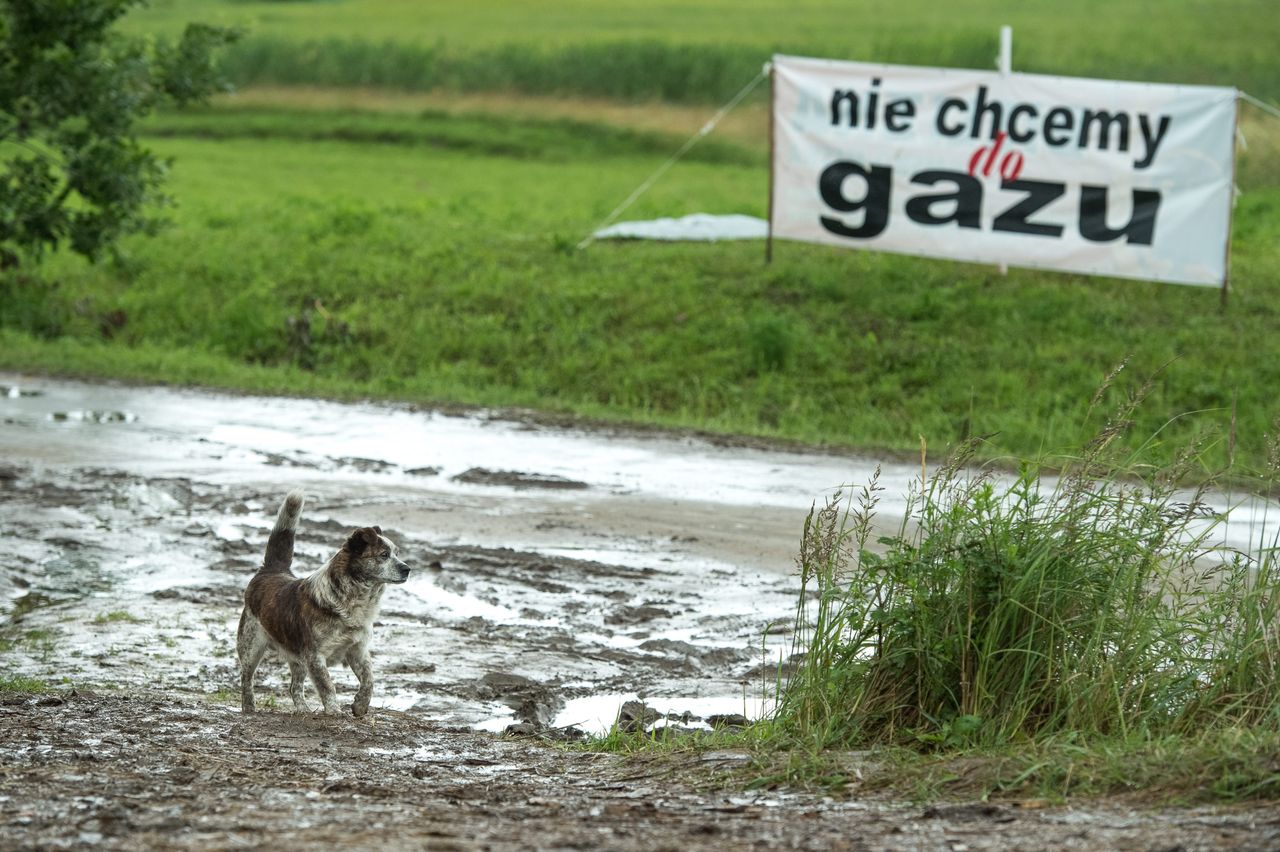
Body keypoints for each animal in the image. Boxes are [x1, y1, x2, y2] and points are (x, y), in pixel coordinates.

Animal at [232, 488, 407, 711]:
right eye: (384, 555)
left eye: (396, 554)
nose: (407, 569)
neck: (352, 600)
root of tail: (271, 570)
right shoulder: (315, 656)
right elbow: (327, 686)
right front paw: (334, 711)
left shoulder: (357, 650)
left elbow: (369, 680)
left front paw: (359, 705)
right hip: (251, 646)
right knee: (246, 679)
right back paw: (249, 708)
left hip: (297, 658)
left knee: (294, 687)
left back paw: (303, 710)